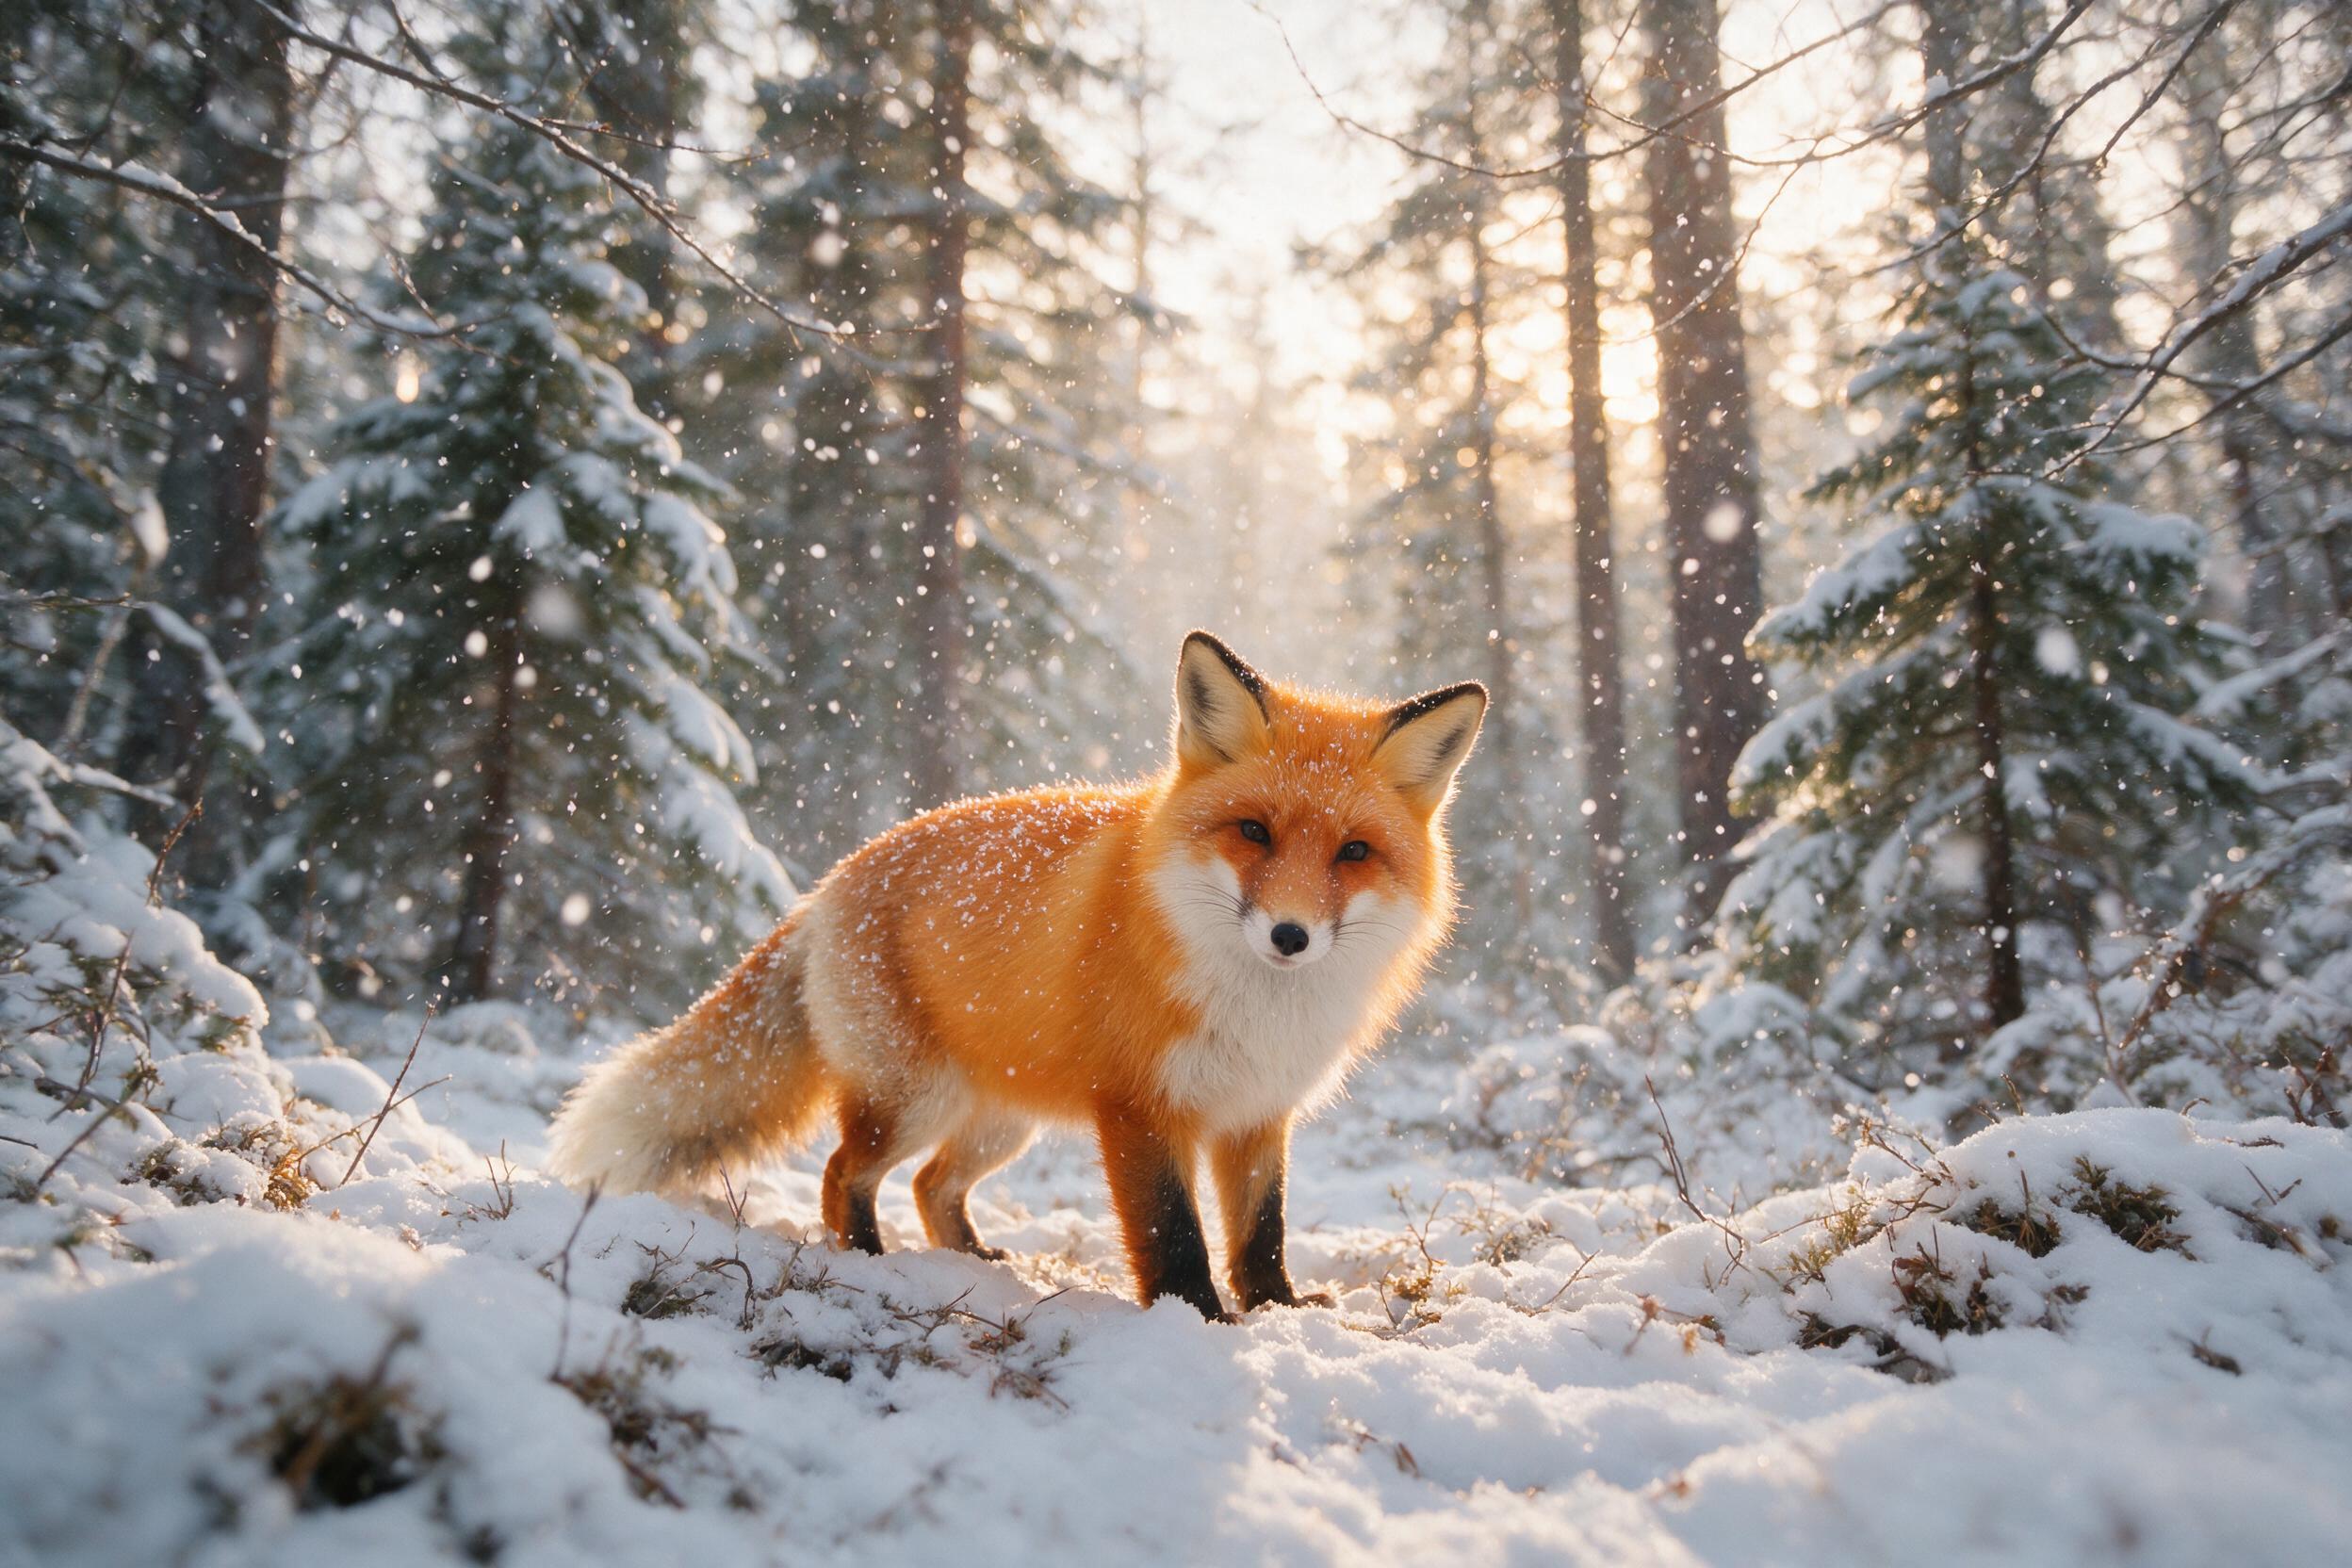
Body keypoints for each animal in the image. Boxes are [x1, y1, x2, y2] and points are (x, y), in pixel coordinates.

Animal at [545, 631, 1486, 1319]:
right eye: (1253, 831)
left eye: (1353, 852)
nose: (1291, 935)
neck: (1258, 1008)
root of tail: (833, 878)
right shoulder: (1140, 1108)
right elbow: (1174, 1235)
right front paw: (1199, 1321)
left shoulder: (1258, 1114)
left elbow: (1262, 1232)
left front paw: (1281, 1312)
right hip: (912, 1100)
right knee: (845, 1173)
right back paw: (871, 1263)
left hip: (1002, 1123)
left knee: (930, 1186)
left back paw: (975, 1262)